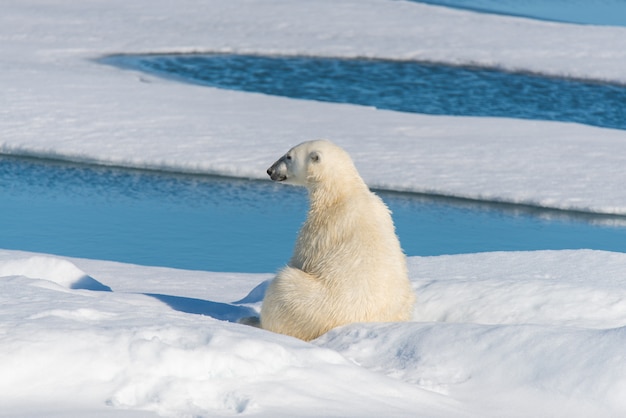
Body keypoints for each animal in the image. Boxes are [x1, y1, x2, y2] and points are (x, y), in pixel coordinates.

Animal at [260, 139, 414, 342]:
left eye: (288, 156)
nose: (270, 171)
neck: (343, 192)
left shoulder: (322, 227)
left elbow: (302, 257)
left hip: (310, 308)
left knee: (282, 284)